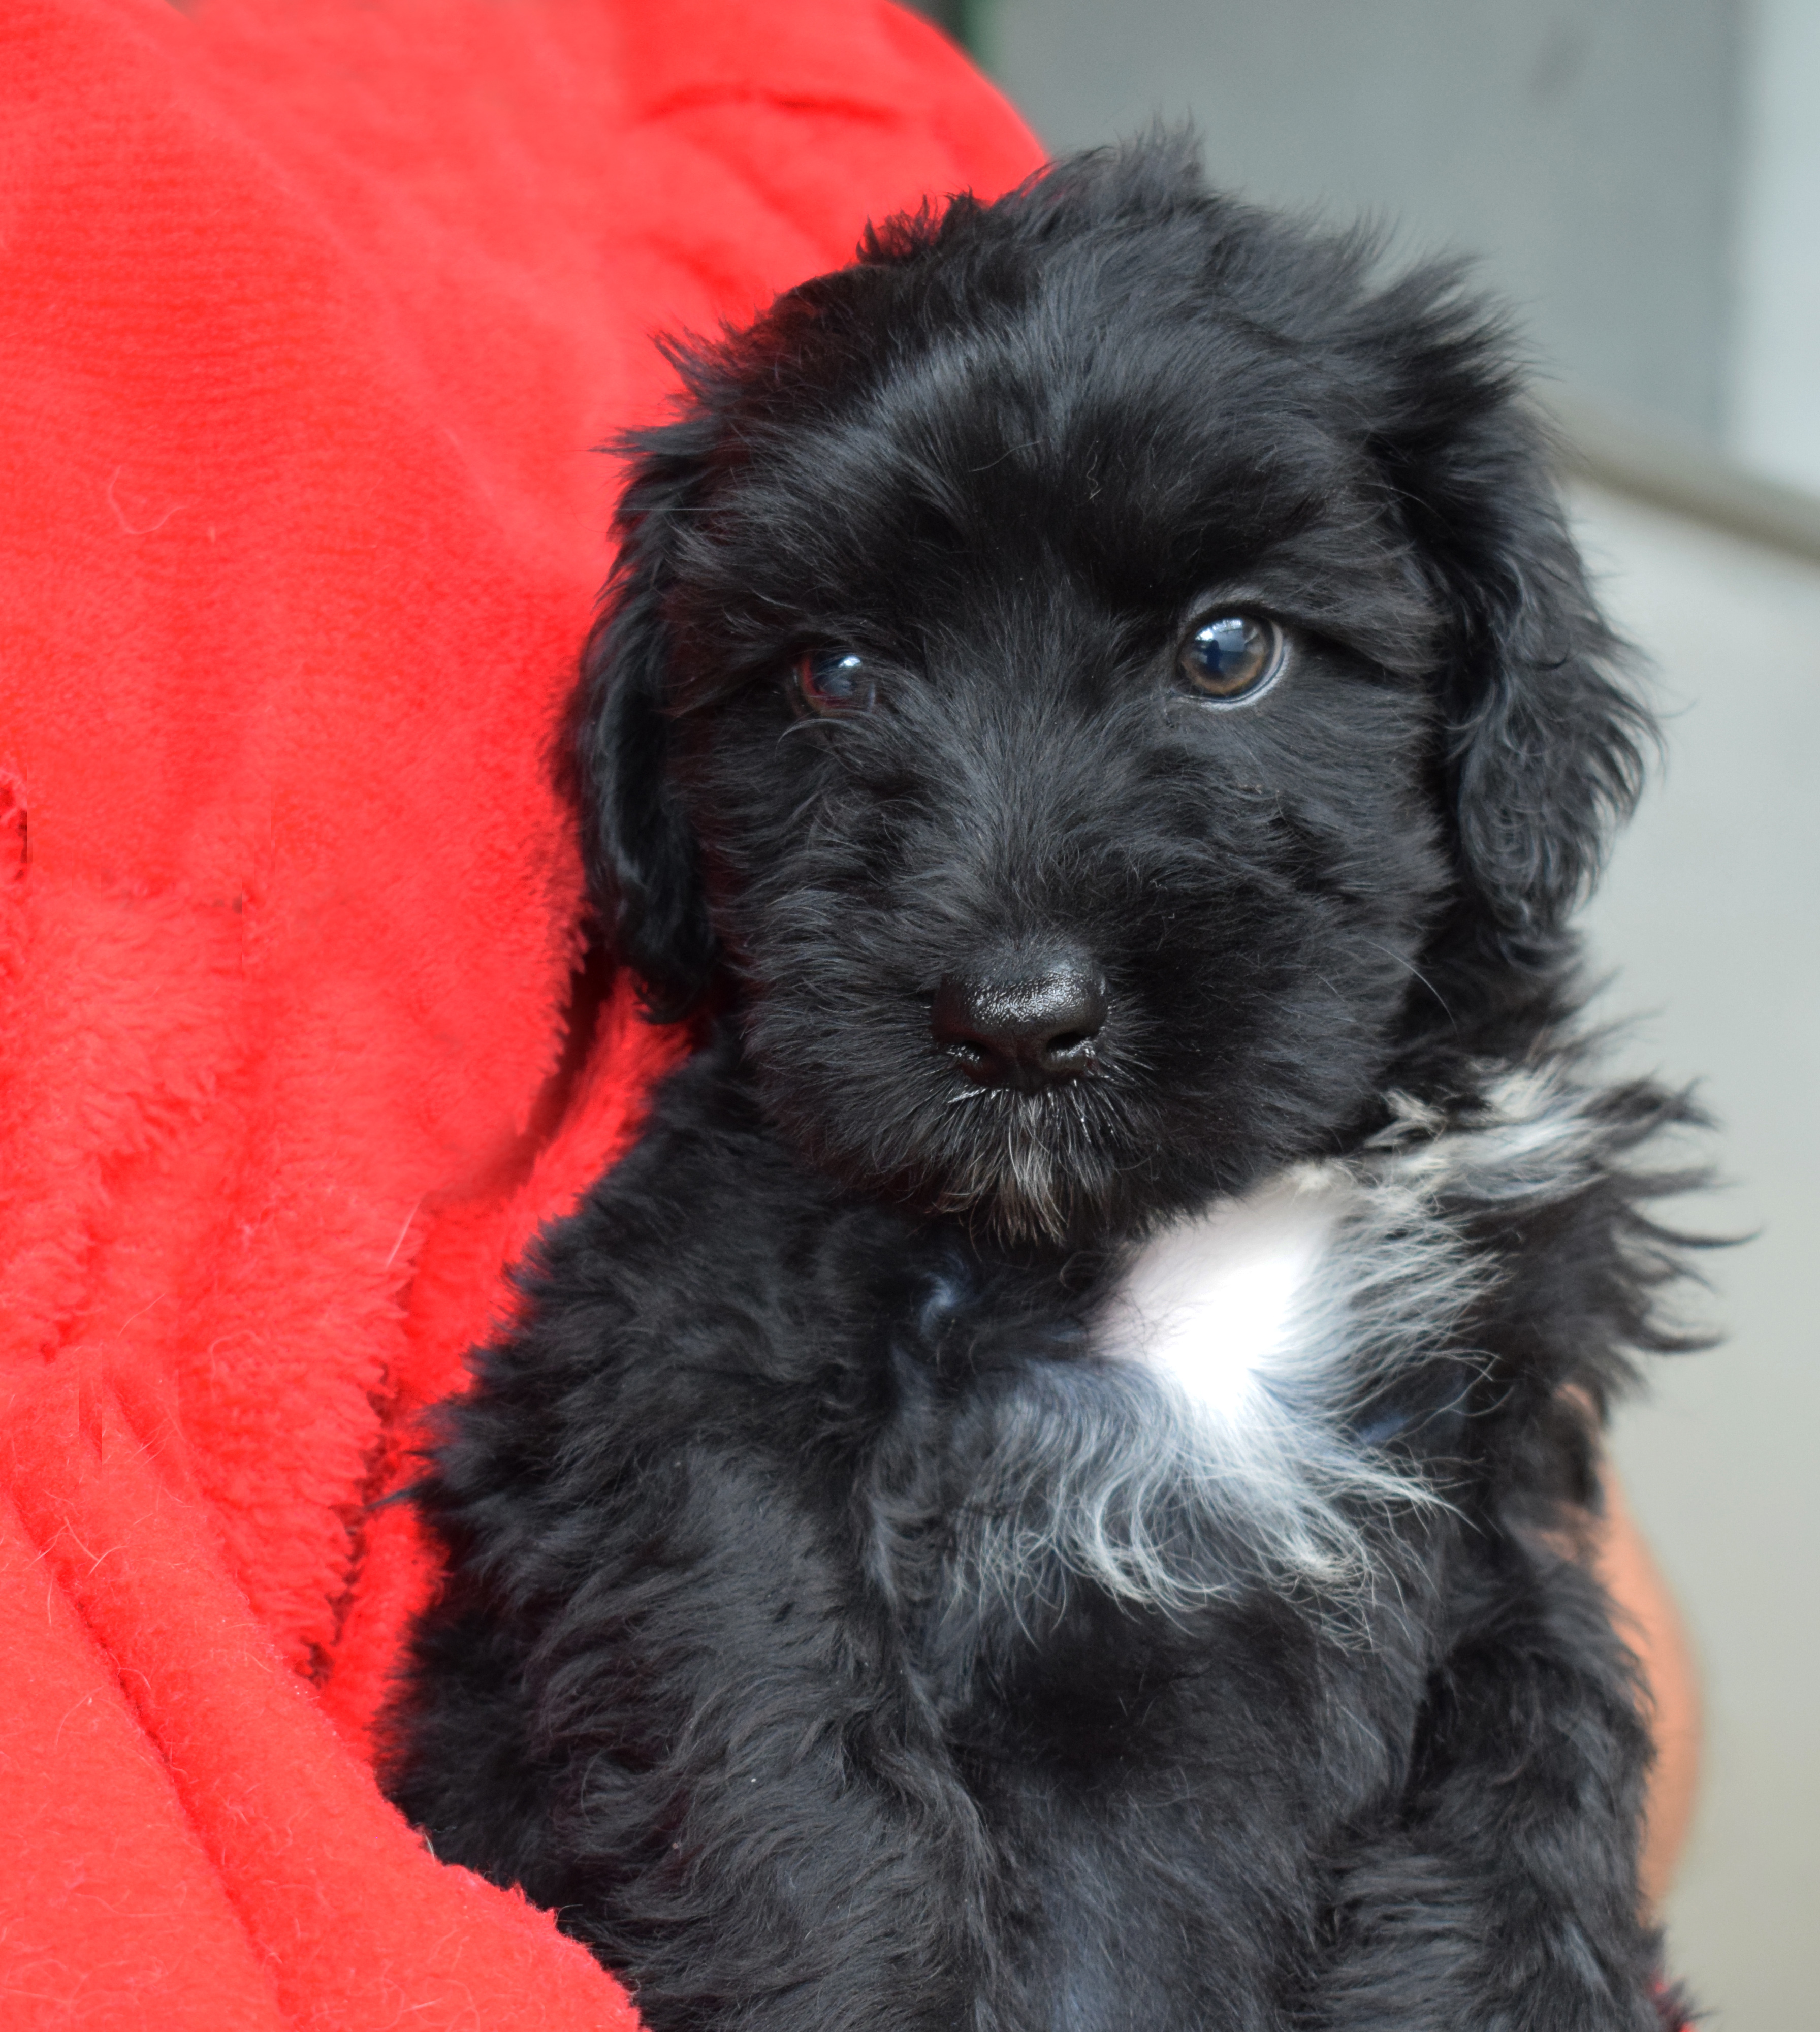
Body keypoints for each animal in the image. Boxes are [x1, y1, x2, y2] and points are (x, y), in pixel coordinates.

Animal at [390, 143, 1698, 2032]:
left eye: (1230, 651)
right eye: (833, 673)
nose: (1014, 1020)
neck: (1164, 1229)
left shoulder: (1491, 1466)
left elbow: (1546, 1743)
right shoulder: (676, 1388)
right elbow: (795, 1759)